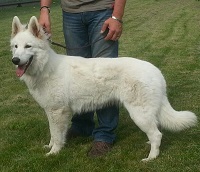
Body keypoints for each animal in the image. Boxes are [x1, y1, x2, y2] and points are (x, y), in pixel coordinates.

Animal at [10, 16, 197, 161]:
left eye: (28, 46)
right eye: (15, 47)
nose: (15, 60)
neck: (46, 67)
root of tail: (156, 71)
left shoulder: (57, 111)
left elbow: (56, 135)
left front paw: (53, 152)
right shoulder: (52, 111)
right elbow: (53, 133)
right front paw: (50, 146)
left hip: (139, 114)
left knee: (157, 134)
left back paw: (151, 157)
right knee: (155, 131)